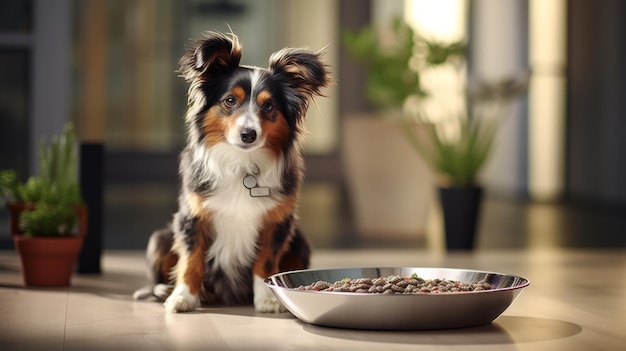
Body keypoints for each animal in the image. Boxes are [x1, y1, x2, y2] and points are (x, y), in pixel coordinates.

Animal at [133, 31, 332, 314]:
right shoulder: (193, 216)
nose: (248, 134)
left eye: (269, 106)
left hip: (301, 243)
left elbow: (265, 263)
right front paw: (183, 297)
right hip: (159, 238)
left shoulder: (277, 223)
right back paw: (175, 291)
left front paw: (268, 298)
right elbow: (191, 259)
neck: (242, 163)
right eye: (230, 101)